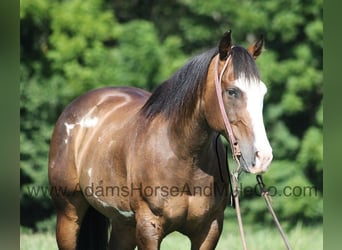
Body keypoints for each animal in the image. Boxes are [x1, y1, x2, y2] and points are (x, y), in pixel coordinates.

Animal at [48, 31, 272, 250]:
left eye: (263, 92)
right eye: (232, 91)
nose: (263, 157)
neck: (182, 155)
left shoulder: (209, 230)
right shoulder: (149, 228)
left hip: (124, 224)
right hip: (68, 215)